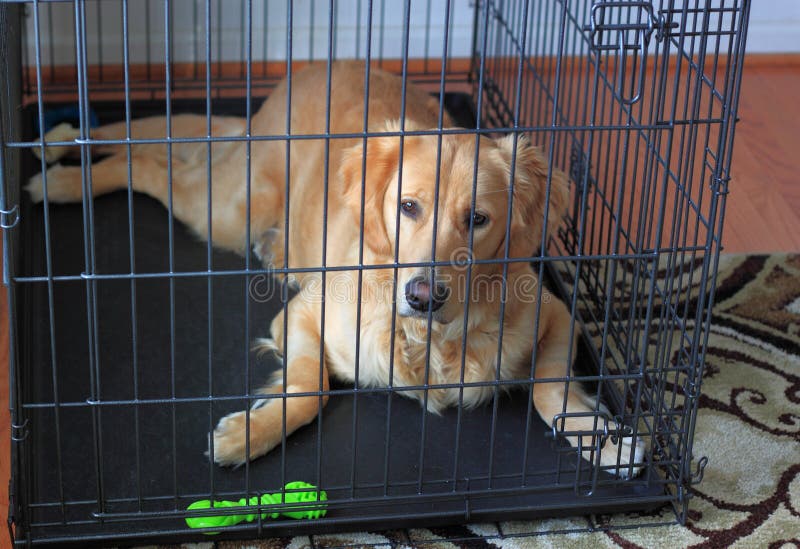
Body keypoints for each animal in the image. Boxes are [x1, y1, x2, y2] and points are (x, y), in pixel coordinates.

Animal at [28, 58, 648, 470]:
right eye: (408, 207)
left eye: (478, 219)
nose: (424, 295)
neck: (428, 341)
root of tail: (311, 67)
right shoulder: (304, 314)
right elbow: (309, 387)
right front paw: (248, 435)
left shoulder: (555, 315)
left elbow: (551, 388)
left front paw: (602, 437)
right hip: (227, 210)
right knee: (151, 164)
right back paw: (61, 178)